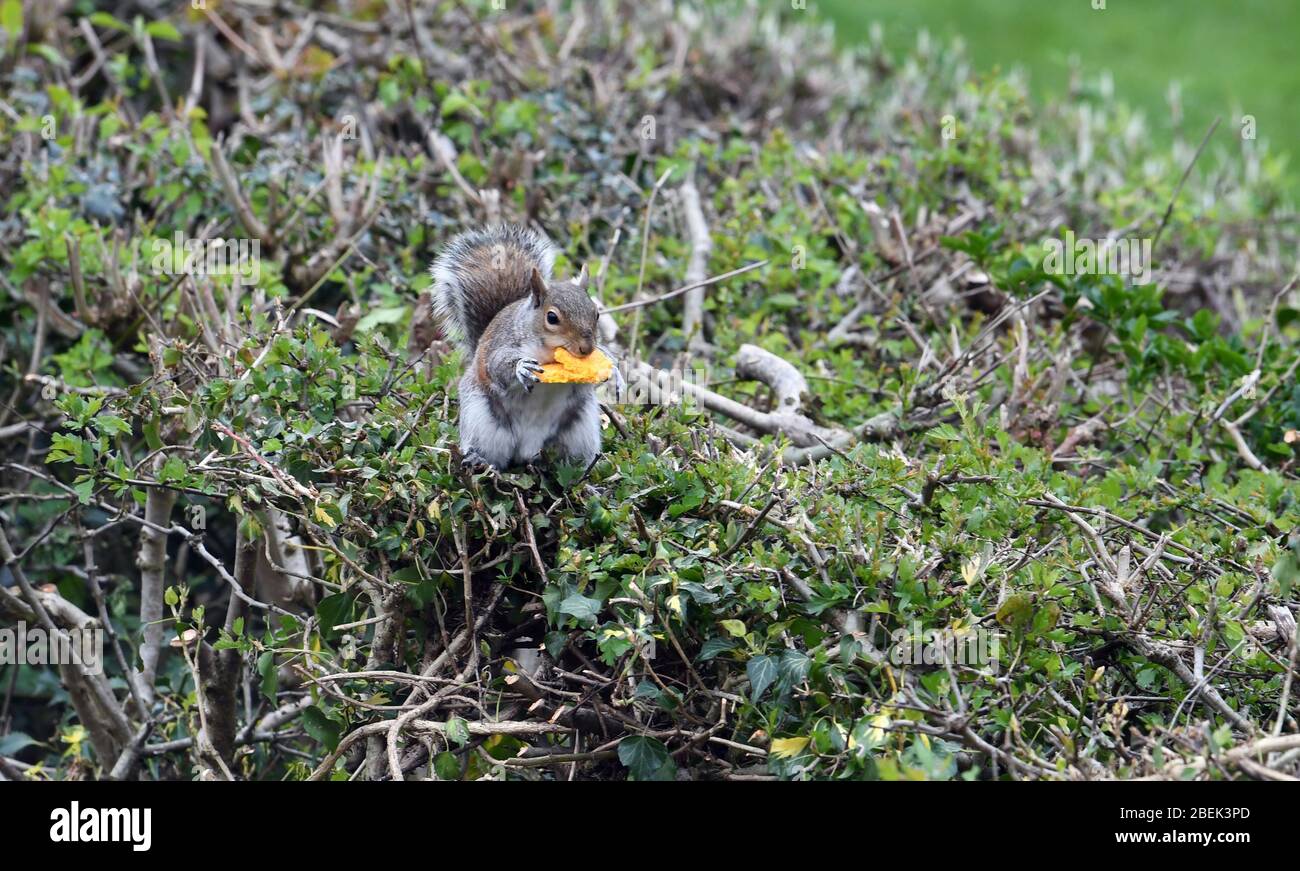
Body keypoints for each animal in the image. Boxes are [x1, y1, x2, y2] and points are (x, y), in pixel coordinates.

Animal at [432, 224, 607, 470]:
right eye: (552, 318)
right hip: (481, 420)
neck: (547, 352)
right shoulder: (502, 344)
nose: (586, 348)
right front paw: (521, 367)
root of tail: (528, 448)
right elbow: (497, 366)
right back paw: (478, 459)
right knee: (490, 453)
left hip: (579, 429)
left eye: (596, 313)